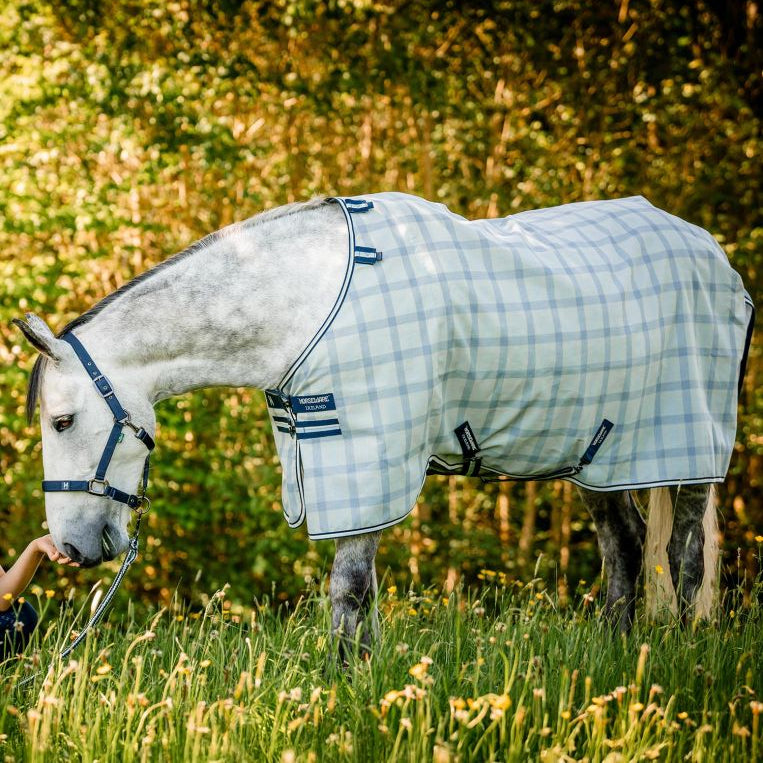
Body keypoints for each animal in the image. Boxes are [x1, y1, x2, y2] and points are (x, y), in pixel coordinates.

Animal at [14, 193, 753, 648]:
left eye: (62, 421)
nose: (72, 546)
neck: (302, 298)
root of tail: (713, 253)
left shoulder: (364, 452)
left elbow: (348, 588)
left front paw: (344, 687)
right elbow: (358, 592)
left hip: (686, 447)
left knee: (685, 555)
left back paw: (677, 655)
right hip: (599, 452)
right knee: (623, 545)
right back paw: (617, 657)